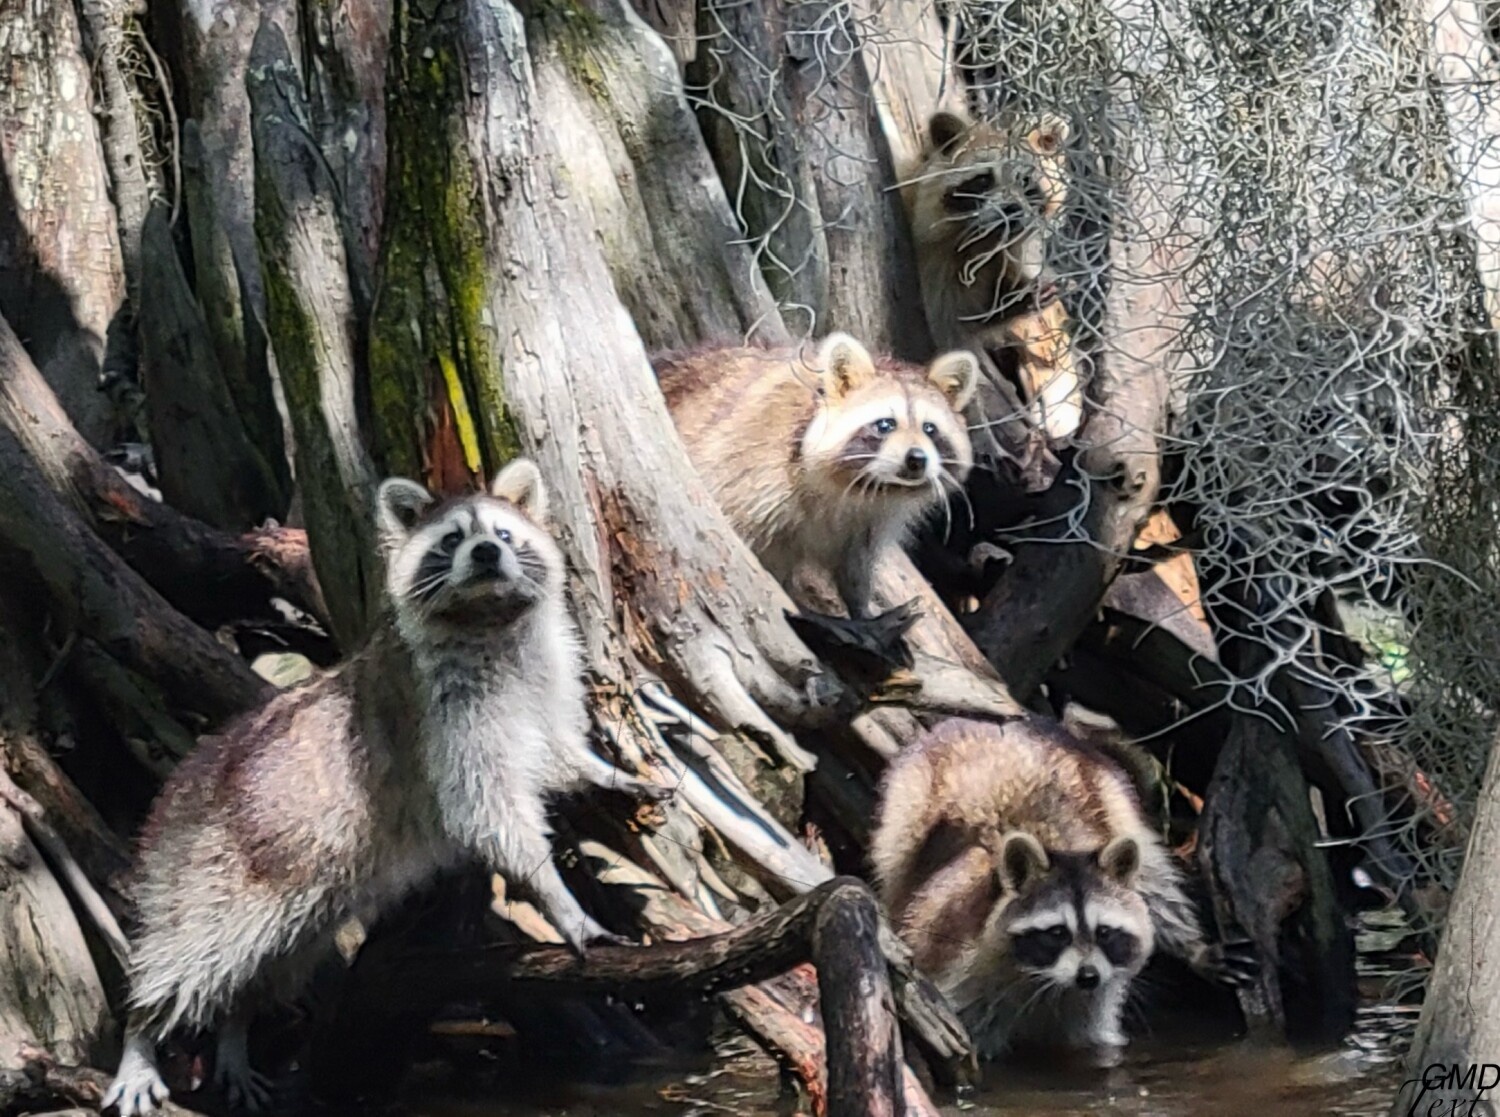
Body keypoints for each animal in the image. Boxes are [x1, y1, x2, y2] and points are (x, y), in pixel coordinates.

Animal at [104, 460, 666, 1116]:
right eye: (453, 539)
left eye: (503, 535)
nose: (485, 553)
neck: (489, 620)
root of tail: (177, 785)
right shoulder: (440, 714)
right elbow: (489, 812)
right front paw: (558, 896)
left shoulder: (546, 673)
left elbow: (553, 749)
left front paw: (602, 771)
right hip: (205, 863)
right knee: (190, 953)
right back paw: (143, 1030)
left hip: (304, 909)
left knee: (268, 968)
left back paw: (236, 1031)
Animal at [656, 333, 978, 619]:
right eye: (885, 425)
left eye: (930, 429)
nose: (917, 460)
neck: (857, 484)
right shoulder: (752, 469)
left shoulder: (873, 518)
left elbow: (856, 561)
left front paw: (860, 604)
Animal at [870, 718, 1252, 1057]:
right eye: (1056, 932)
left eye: (1104, 931)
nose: (1088, 976)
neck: (1043, 983)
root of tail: (981, 723)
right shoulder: (956, 974)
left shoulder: (1093, 1001)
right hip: (903, 808)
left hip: (1110, 792)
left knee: (1154, 877)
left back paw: (1190, 943)